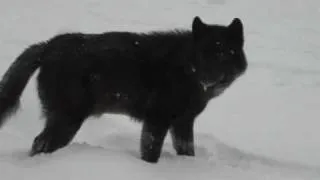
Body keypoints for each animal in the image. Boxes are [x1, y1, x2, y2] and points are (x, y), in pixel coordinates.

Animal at [0, 16, 248, 163]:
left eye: (224, 53)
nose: (209, 78)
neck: (184, 68)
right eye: (204, 54)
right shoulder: (157, 121)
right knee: (39, 143)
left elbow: (187, 151)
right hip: (67, 120)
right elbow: (151, 153)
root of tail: (47, 46)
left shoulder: (183, 123)